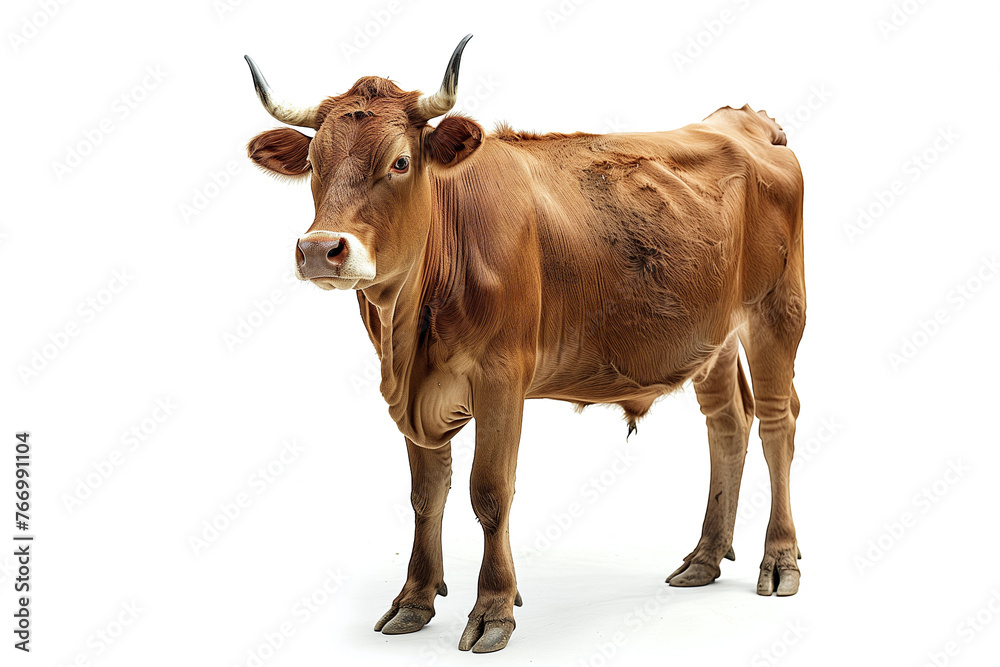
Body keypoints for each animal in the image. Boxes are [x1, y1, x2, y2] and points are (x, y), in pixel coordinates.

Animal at [244, 35, 804, 652]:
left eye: (400, 161)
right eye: (314, 164)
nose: (321, 249)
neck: (407, 339)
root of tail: (743, 121)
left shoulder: (502, 377)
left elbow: (489, 492)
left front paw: (493, 609)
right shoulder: (412, 394)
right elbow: (425, 495)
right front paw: (414, 600)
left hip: (778, 310)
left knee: (777, 420)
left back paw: (779, 560)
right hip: (712, 333)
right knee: (728, 421)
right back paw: (704, 558)